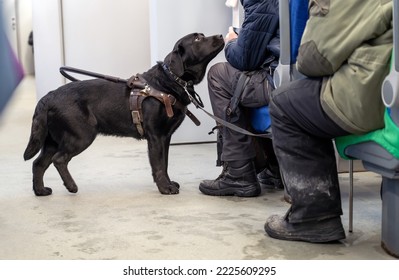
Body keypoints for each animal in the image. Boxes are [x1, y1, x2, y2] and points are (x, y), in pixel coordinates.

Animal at [24, 32, 225, 196]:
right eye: (197, 39)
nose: (221, 35)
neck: (166, 83)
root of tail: (48, 96)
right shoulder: (156, 136)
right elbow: (159, 165)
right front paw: (165, 188)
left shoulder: (165, 137)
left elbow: (165, 163)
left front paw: (169, 183)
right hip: (80, 136)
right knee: (59, 159)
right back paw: (71, 186)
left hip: (52, 140)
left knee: (38, 163)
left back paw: (40, 191)